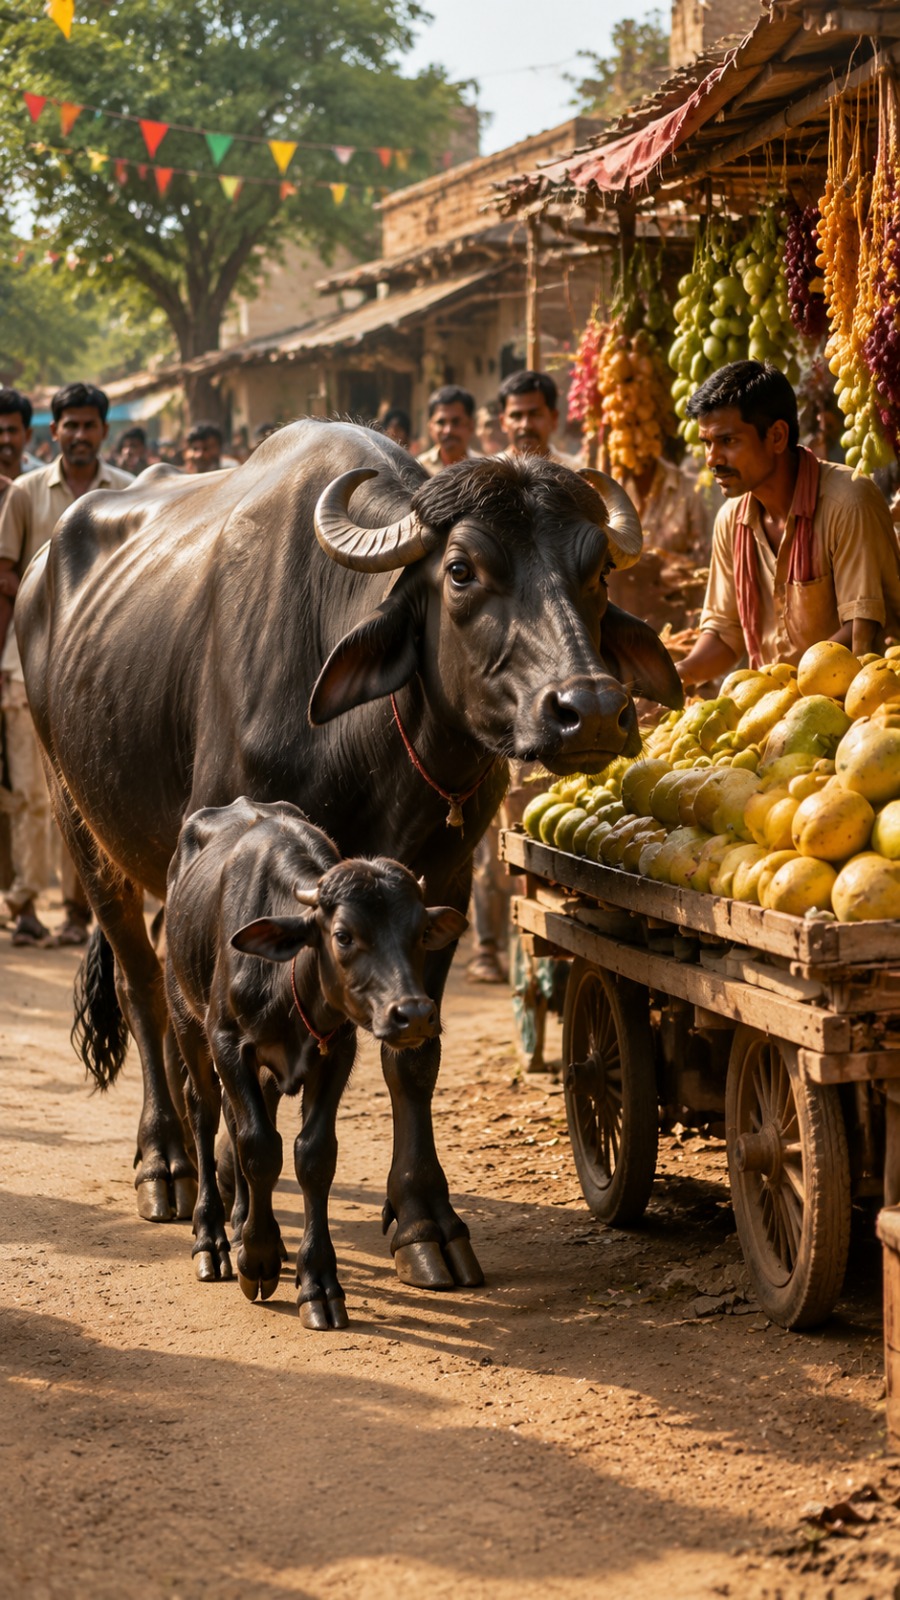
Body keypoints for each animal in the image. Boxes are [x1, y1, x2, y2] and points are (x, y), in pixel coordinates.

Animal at [17, 420, 681, 1292]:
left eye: (598, 568)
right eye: (462, 570)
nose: (592, 709)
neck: (371, 749)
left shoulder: (443, 881)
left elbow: (412, 1059)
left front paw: (426, 1221)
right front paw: (242, 1214)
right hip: (79, 819)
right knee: (141, 984)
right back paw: (168, 1164)